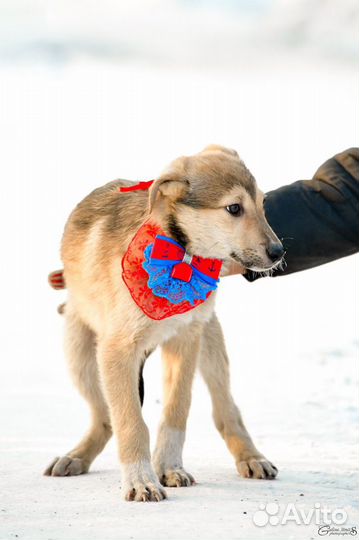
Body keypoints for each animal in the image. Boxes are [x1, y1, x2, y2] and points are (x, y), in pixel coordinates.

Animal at [45, 144, 284, 502]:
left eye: (263, 204)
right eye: (234, 208)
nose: (279, 252)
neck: (180, 256)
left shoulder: (185, 340)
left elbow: (176, 411)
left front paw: (169, 467)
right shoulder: (117, 351)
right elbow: (131, 422)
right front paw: (140, 480)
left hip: (210, 346)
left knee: (226, 410)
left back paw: (252, 457)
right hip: (80, 353)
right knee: (105, 418)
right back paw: (75, 457)